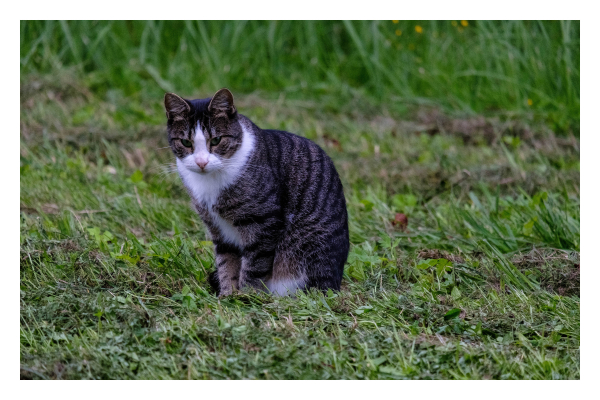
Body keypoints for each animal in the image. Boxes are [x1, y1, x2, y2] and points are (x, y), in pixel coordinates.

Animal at [165, 89, 352, 296]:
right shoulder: (218, 229)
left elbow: (254, 266)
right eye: (185, 142)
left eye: (216, 140)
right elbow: (226, 264)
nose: (201, 162)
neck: (210, 181)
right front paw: (227, 295)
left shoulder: (263, 222)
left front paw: (247, 296)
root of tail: (335, 283)